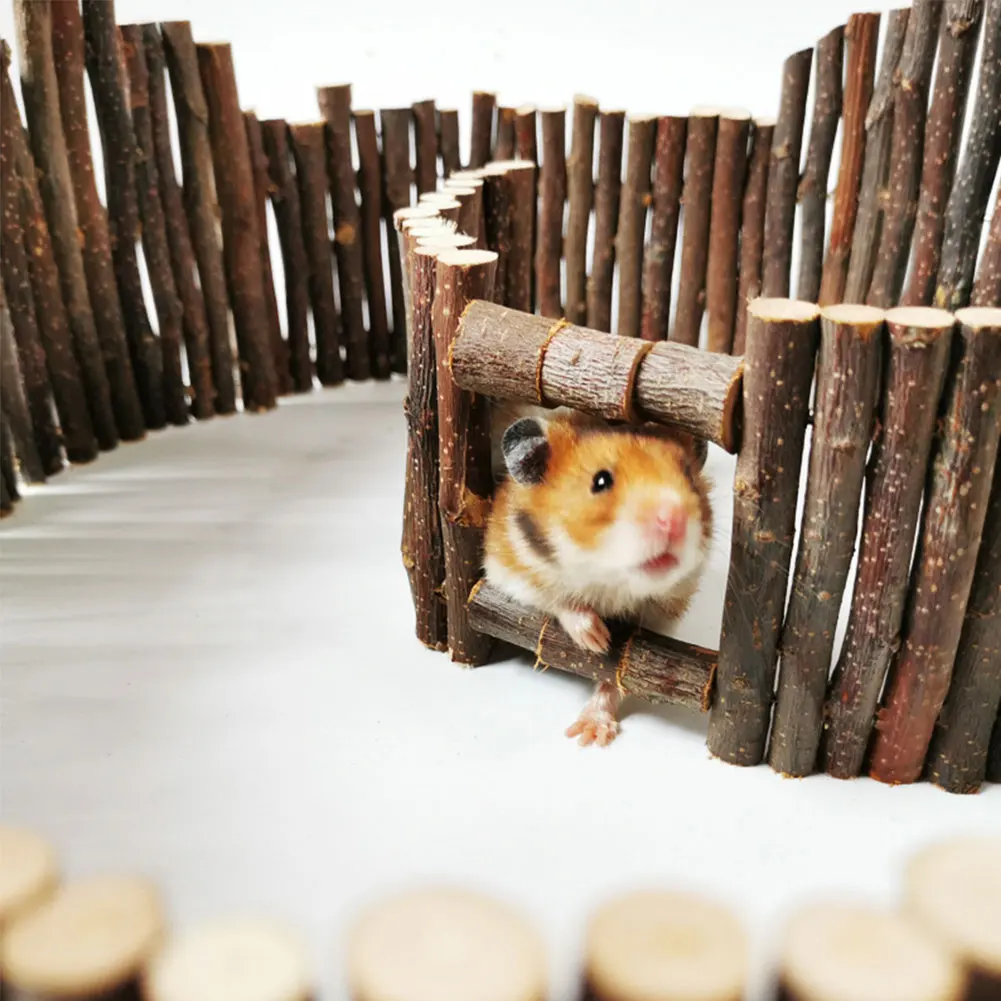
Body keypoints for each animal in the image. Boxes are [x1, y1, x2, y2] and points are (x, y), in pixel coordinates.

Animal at [484, 403, 713, 748]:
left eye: (688, 475)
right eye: (601, 481)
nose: (674, 519)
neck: (610, 586)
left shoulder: (658, 619)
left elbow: (614, 678)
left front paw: (591, 735)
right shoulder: (505, 569)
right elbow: (559, 602)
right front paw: (596, 640)